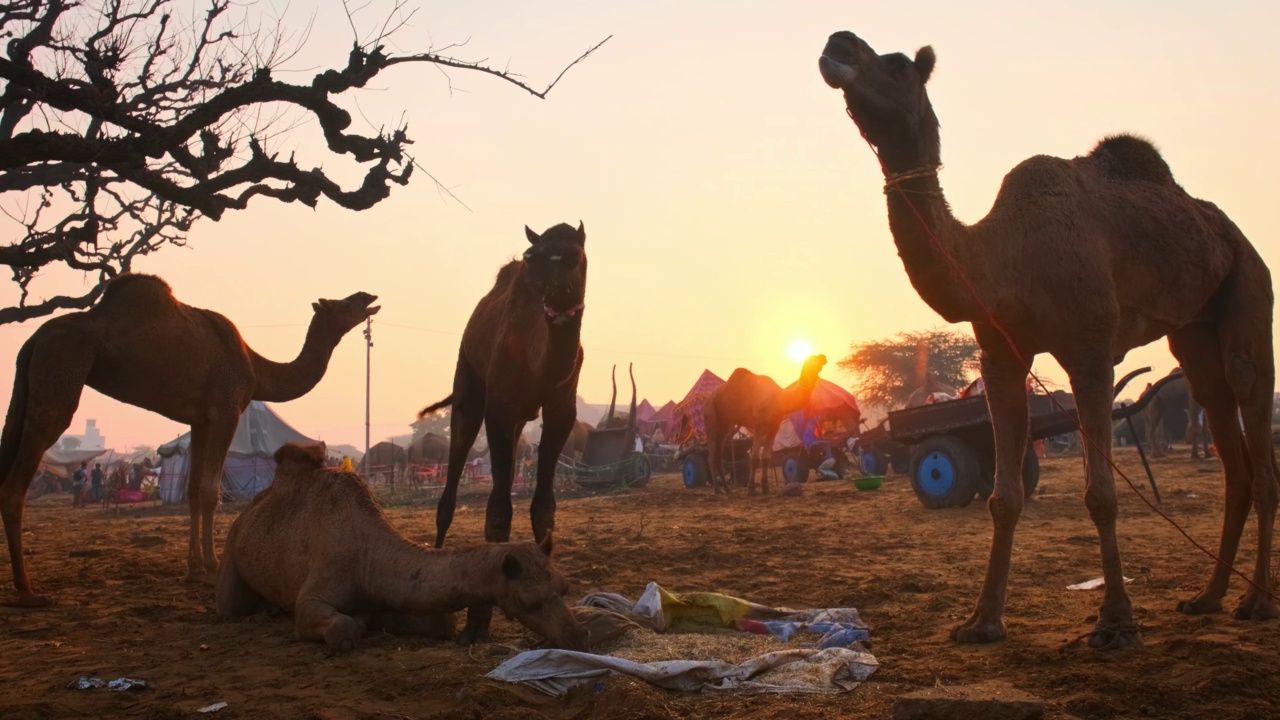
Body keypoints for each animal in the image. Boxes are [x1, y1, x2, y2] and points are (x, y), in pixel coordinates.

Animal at [0, 271, 376, 602]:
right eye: (342, 304)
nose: (367, 296)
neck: (256, 370)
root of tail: (34, 339)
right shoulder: (226, 410)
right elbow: (210, 491)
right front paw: (212, 566)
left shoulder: (199, 420)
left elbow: (193, 490)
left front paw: (194, 569)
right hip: (60, 370)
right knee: (18, 479)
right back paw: (27, 590)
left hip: (28, 382)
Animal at [213, 443, 586, 650]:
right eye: (529, 601)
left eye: (564, 587)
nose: (576, 636)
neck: (367, 553)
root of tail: (245, 513)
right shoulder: (316, 591)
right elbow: (342, 626)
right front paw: (353, 624)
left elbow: (442, 622)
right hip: (231, 550)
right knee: (230, 605)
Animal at [419, 220, 586, 645]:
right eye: (534, 257)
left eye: (574, 255)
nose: (556, 294)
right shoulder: (498, 407)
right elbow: (497, 511)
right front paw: (476, 621)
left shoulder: (561, 410)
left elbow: (544, 505)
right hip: (467, 387)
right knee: (450, 488)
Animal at [701, 353, 829, 491]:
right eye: (813, 360)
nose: (823, 357)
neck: (779, 398)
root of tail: (707, 399)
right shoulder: (758, 424)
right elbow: (755, 457)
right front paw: (751, 488)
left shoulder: (774, 426)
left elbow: (766, 457)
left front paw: (766, 486)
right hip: (710, 416)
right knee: (711, 457)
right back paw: (717, 490)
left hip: (724, 425)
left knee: (719, 455)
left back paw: (727, 490)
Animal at [819, 30, 1280, 645]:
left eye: (896, 67)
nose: (838, 42)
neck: (1005, 256)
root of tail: (1233, 234)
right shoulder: (1000, 355)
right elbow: (1004, 496)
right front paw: (982, 621)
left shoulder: (1090, 351)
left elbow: (1101, 494)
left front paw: (1116, 621)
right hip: (1194, 331)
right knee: (1229, 443)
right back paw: (1207, 597)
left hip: (1249, 285)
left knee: (1253, 404)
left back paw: (1257, 601)